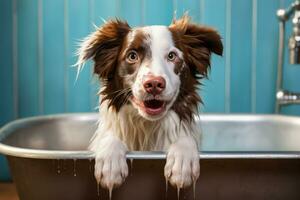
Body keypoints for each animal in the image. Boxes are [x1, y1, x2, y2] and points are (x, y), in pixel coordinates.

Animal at [76, 14, 223, 194]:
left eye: (172, 56)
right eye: (132, 56)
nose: (153, 84)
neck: (147, 126)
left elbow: (185, 138)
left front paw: (183, 159)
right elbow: (109, 137)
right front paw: (110, 162)